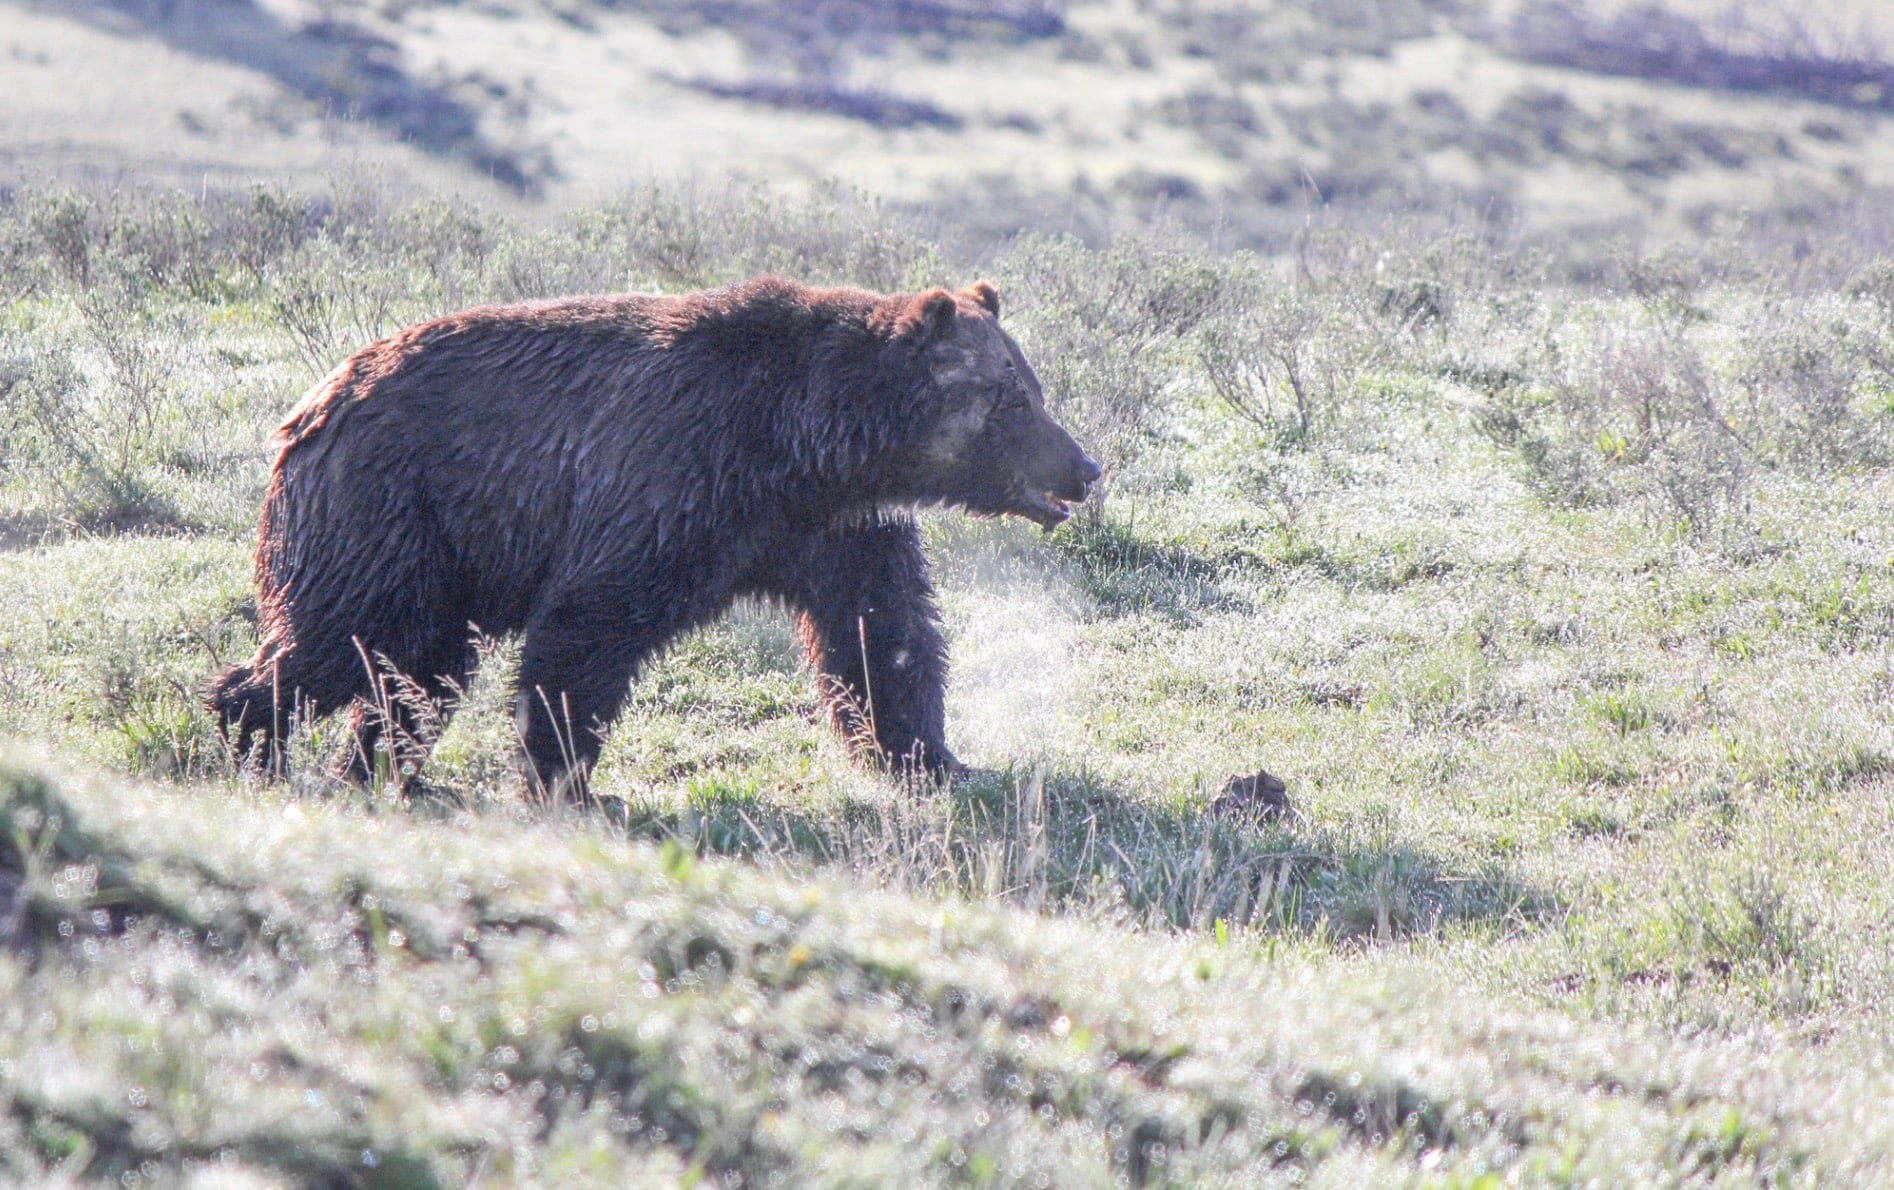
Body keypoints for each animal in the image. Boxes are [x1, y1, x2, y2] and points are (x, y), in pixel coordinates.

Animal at [207, 276, 1101, 799]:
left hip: (444, 557)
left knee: (416, 671)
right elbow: (589, 626)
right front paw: (568, 778)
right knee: (335, 636)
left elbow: (883, 633)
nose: (1084, 467)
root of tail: (315, 400)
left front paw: (935, 758)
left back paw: (381, 769)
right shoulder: (669, 478)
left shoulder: (830, 530)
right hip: (388, 510)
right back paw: (250, 732)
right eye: (1015, 401)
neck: (808, 447)